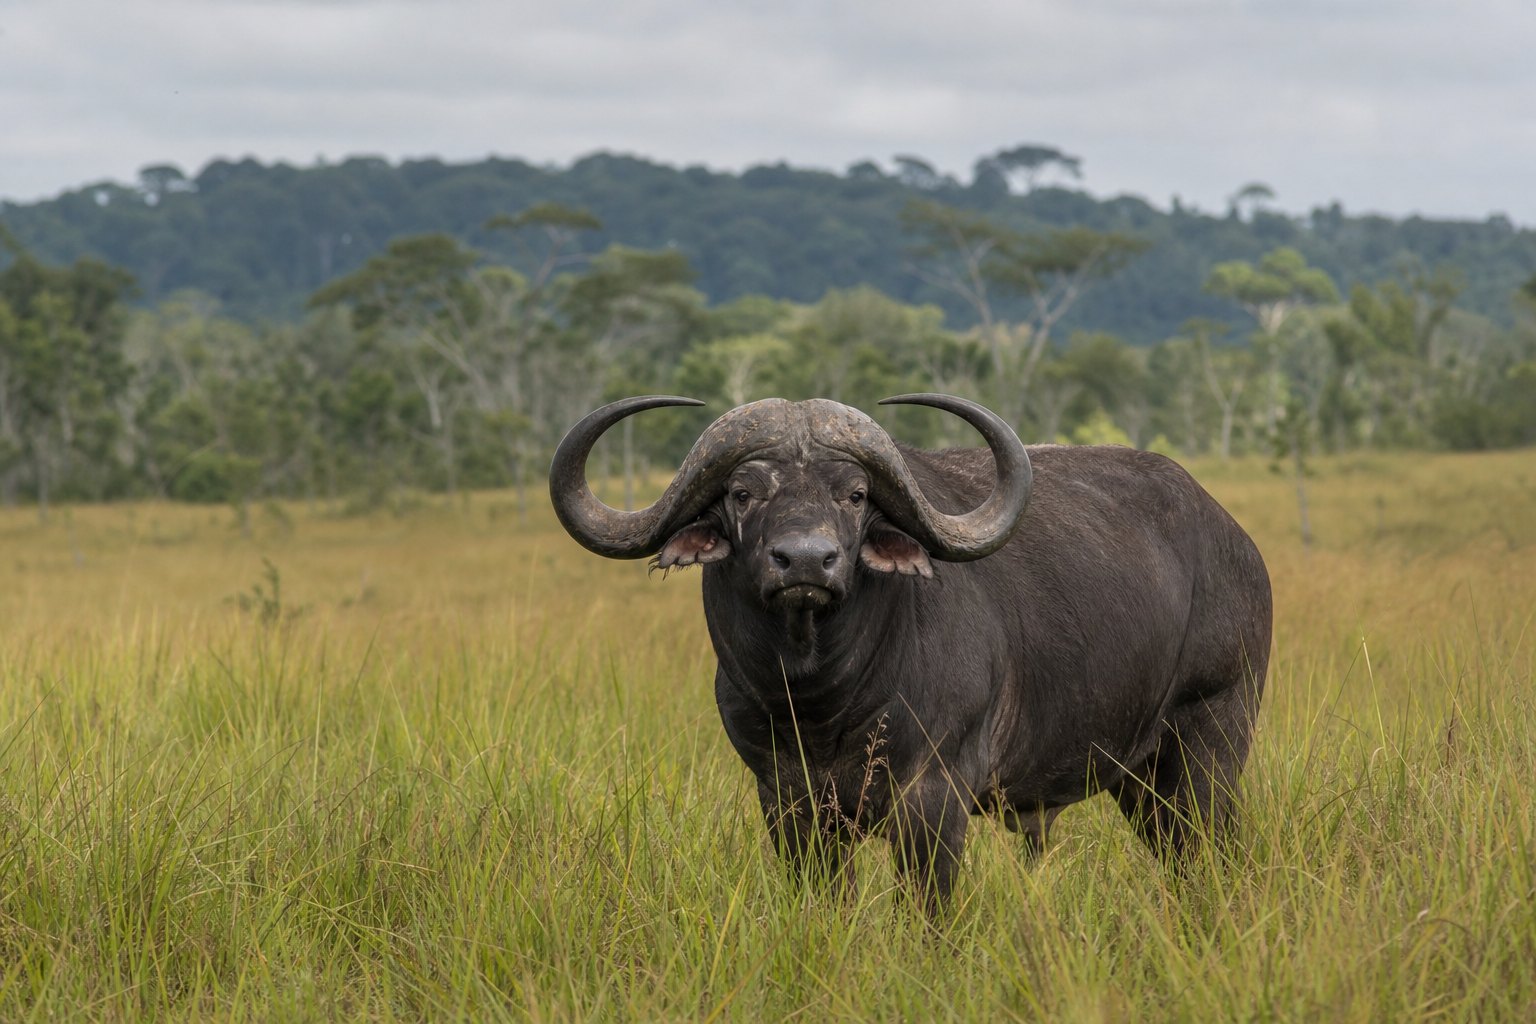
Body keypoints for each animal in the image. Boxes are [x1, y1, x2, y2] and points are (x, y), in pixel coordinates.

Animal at [550, 394, 1271, 911]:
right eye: (742, 493)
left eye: (855, 494)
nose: (806, 561)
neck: (823, 702)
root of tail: (1239, 548)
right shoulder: (786, 803)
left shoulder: (931, 802)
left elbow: (926, 912)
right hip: (1139, 781)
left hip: (1208, 751)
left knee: (1210, 857)